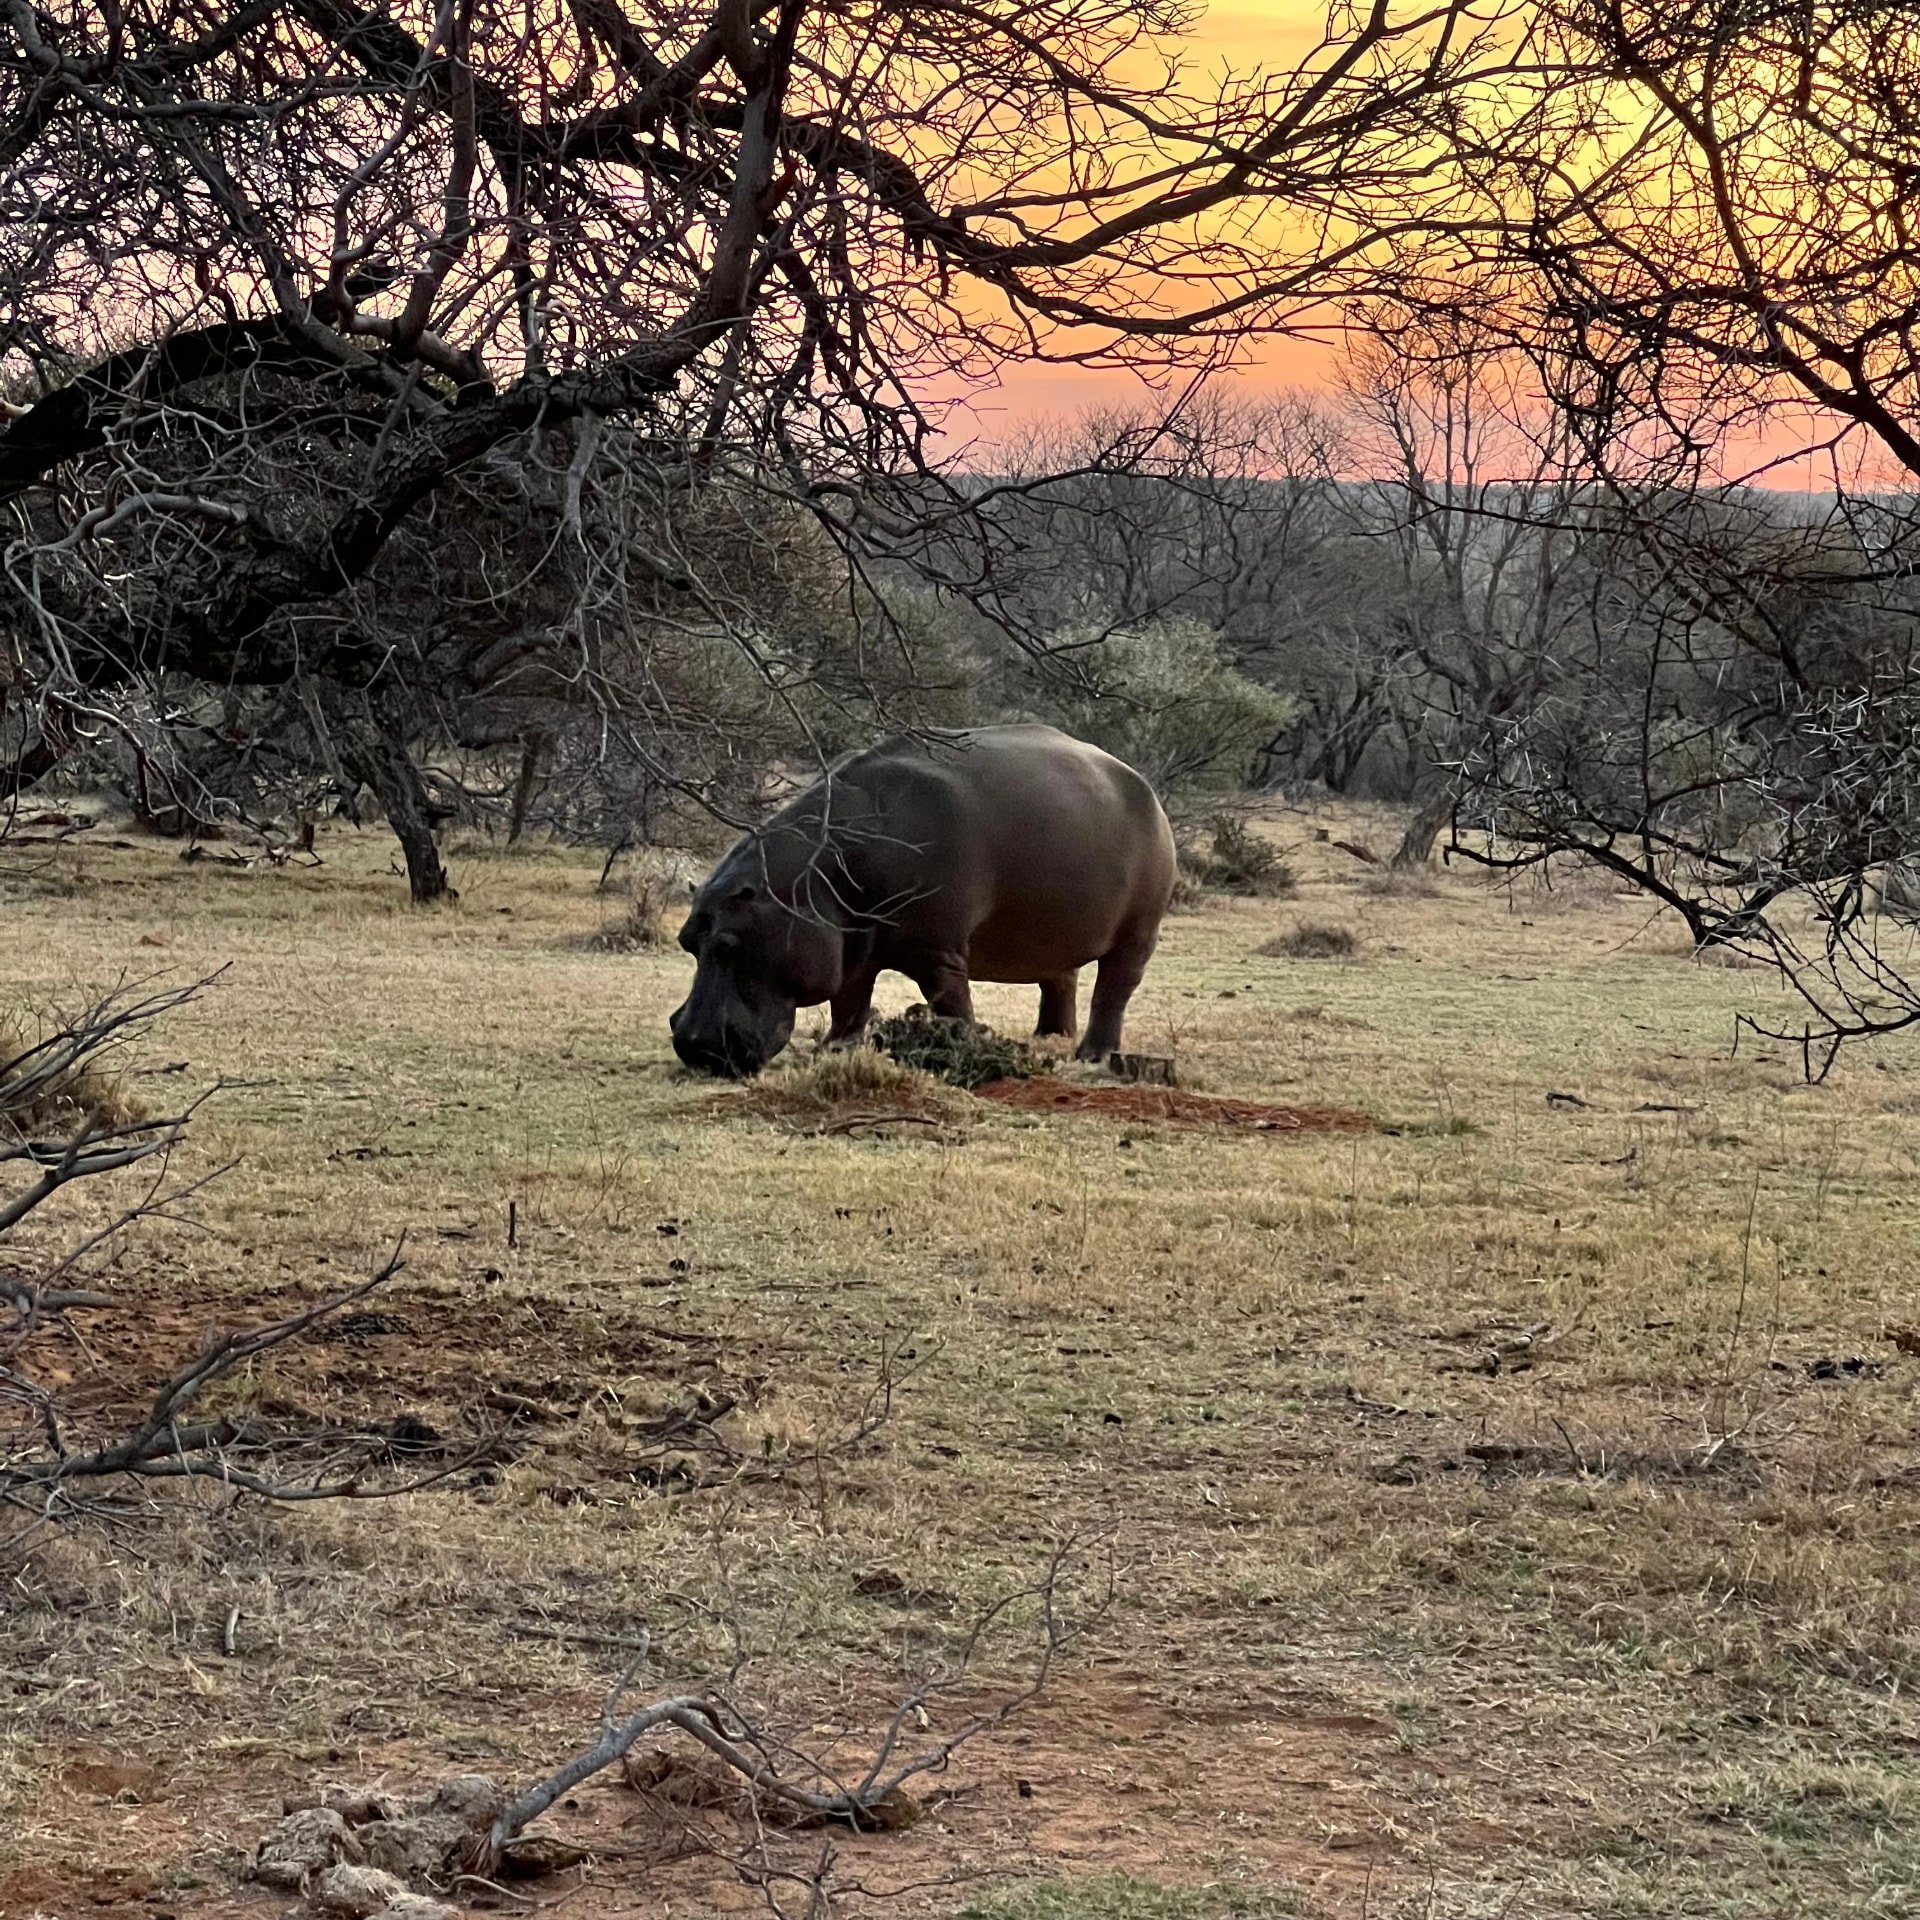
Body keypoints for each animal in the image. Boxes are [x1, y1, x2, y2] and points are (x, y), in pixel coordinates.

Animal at [670, 724, 1177, 1077]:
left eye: (729, 946)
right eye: (687, 941)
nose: (693, 1046)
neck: (813, 877)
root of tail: (1142, 784)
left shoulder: (937, 950)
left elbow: (950, 1003)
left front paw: (963, 1052)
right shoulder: (853, 945)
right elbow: (849, 1003)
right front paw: (833, 1051)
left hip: (1137, 932)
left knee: (1114, 988)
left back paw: (1092, 1055)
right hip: (1054, 931)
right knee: (1061, 980)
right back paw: (1049, 1036)